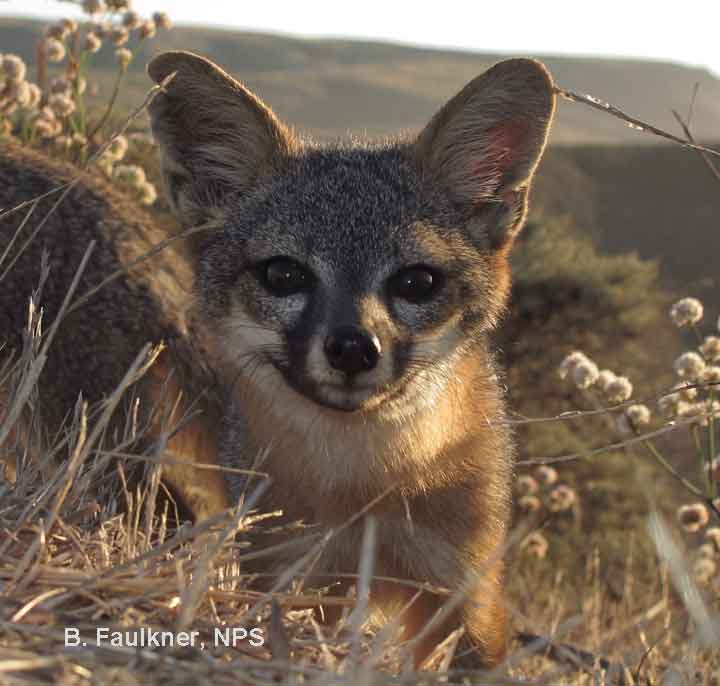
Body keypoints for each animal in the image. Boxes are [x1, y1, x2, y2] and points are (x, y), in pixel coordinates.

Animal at [145, 51, 557, 668]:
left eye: (416, 282)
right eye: (284, 274)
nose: (354, 348)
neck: (364, 489)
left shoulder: (462, 586)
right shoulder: (288, 571)